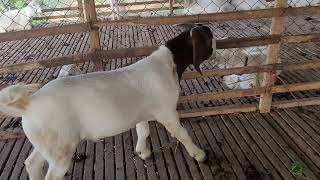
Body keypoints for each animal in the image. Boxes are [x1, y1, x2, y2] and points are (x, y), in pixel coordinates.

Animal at [0, 24, 216, 179]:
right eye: (209, 36)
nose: (217, 45)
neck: (168, 63)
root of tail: (29, 103)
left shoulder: (142, 112)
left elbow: (143, 130)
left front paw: (142, 152)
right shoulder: (167, 111)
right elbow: (182, 134)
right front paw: (200, 155)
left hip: (49, 142)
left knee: (32, 163)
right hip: (60, 151)